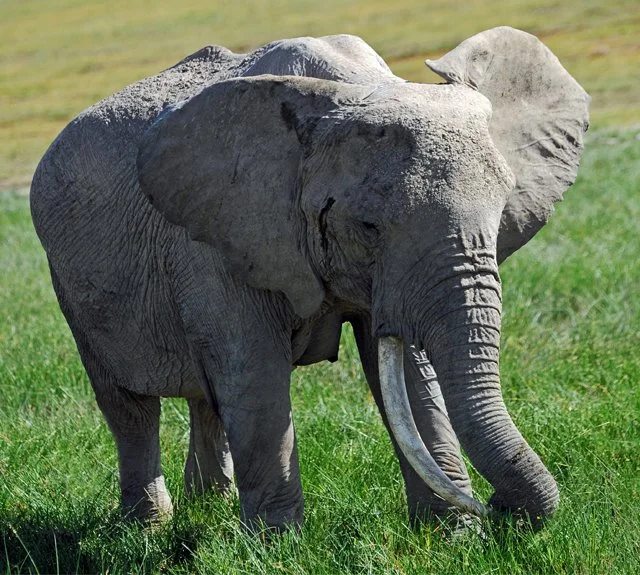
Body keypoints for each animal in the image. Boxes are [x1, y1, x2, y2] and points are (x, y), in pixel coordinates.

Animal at [30, 27, 589, 531]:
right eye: (368, 227)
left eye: (499, 218)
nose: (499, 510)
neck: (353, 88)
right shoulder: (221, 236)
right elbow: (255, 372)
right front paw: (277, 547)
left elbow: (406, 374)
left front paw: (450, 536)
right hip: (71, 283)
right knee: (128, 406)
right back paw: (149, 528)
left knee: (205, 396)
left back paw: (209, 507)